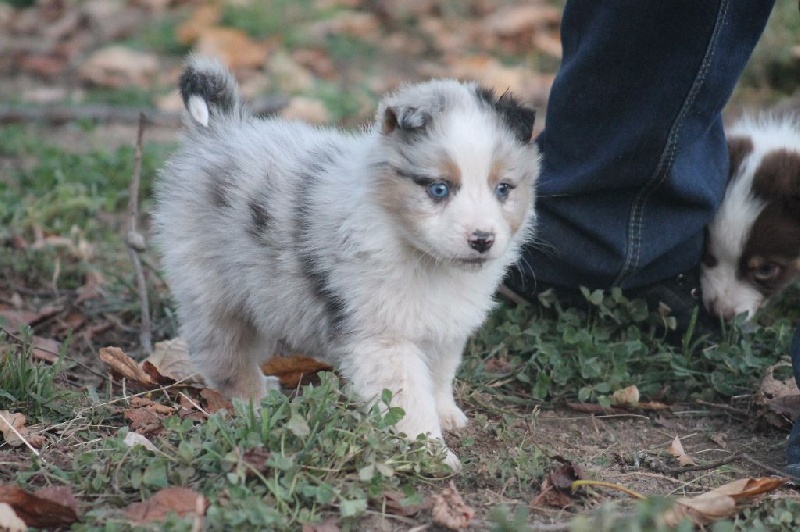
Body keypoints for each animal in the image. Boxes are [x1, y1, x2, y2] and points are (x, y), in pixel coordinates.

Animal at [153, 56, 540, 468]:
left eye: (503, 189)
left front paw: (447, 414)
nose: (482, 240)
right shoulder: (384, 340)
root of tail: (217, 131)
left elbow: (438, 375)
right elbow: (409, 402)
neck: (418, 253)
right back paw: (256, 399)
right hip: (218, 292)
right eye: (439, 189)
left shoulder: (443, 326)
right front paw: (430, 454)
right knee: (223, 356)